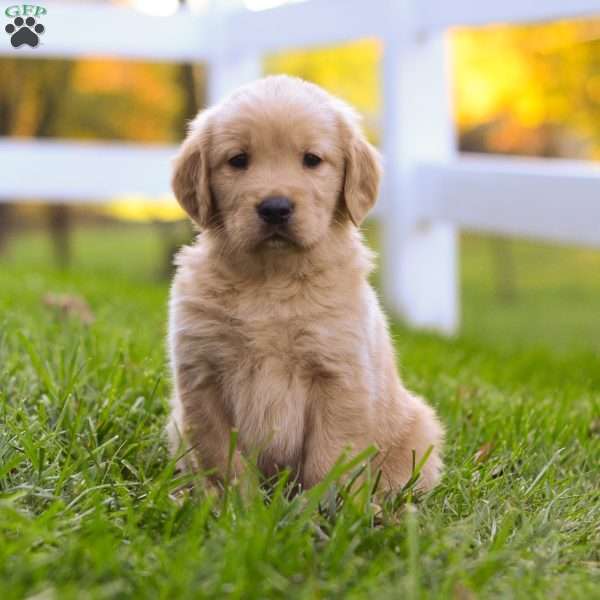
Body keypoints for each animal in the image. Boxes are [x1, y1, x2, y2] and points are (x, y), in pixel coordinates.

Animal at [166, 74, 442, 492]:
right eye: (238, 160)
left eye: (312, 160)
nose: (275, 208)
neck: (271, 279)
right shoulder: (202, 376)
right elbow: (221, 458)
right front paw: (231, 504)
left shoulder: (338, 377)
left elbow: (327, 460)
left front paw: (321, 507)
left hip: (418, 433)